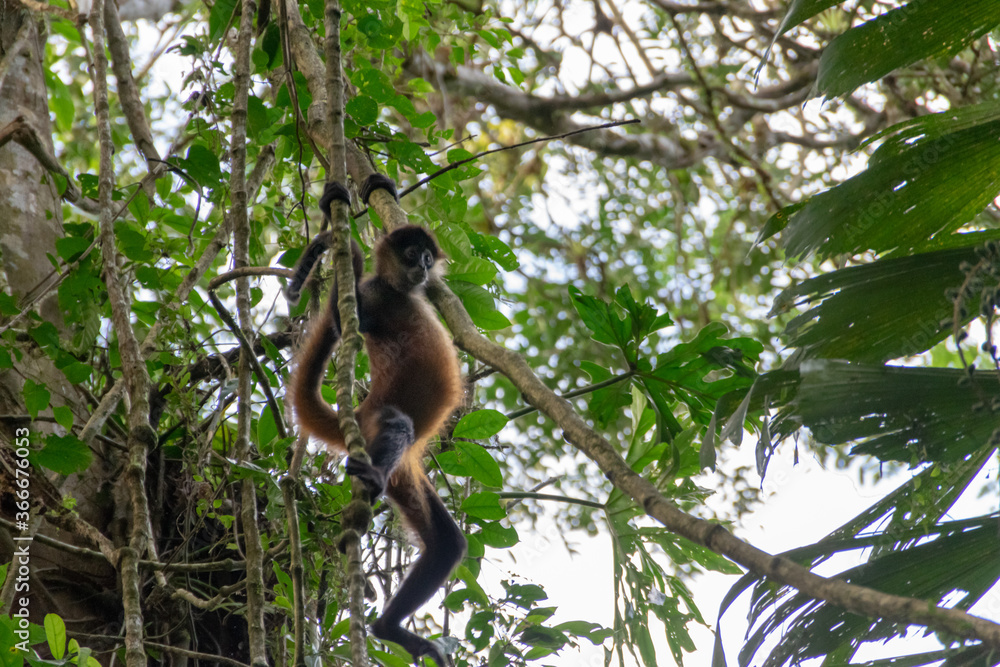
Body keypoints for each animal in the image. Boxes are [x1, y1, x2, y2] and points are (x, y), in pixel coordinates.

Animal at [290, 175, 466, 666]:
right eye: (411, 255)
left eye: (426, 256)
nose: (423, 267)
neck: (398, 291)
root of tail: (362, 411)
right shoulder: (369, 295)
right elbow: (343, 320)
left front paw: (377, 184)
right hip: (378, 426)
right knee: (399, 426)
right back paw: (368, 482)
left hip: (406, 474)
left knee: (448, 545)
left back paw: (389, 628)